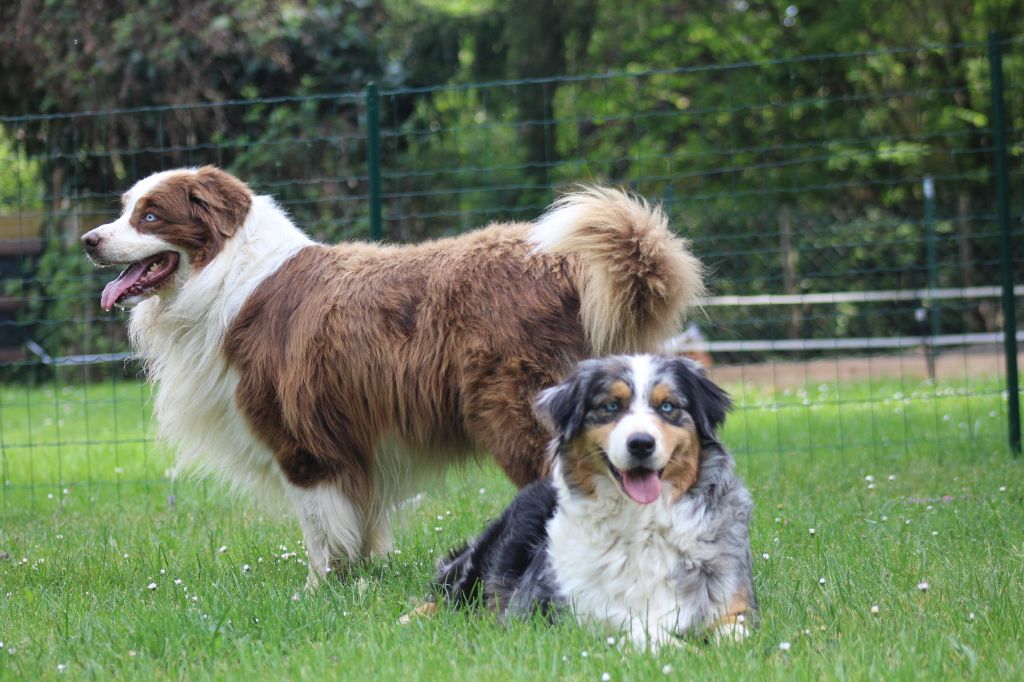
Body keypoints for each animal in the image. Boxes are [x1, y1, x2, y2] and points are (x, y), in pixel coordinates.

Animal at [81, 166, 704, 581]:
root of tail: (562, 264)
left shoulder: (299, 441)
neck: (226, 276)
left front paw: (319, 590)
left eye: (150, 215)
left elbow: (318, 527)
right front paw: (357, 579)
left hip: (518, 416)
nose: (89, 240)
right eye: (125, 208)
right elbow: (354, 522)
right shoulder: (350, 447)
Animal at [428, 352, 757, 647]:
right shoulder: (542, 612)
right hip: (477, 568)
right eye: (610, 406)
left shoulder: (732, 605)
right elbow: (636, 629)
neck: (643, 521)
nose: (641, 444)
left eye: (667, 407)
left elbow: (736, 636)